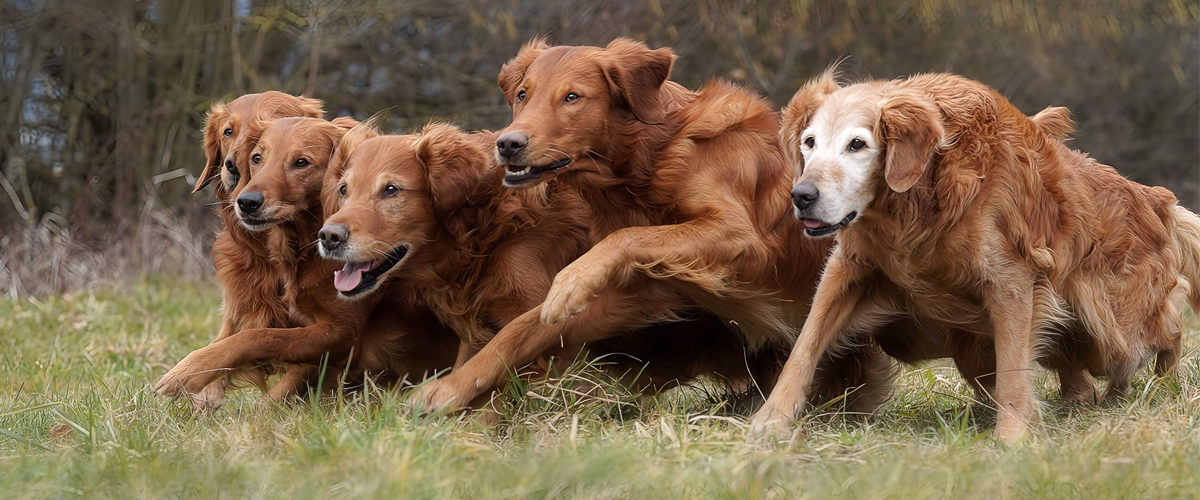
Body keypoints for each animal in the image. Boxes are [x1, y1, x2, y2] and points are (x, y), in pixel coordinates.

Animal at [157, 115, 456, 398]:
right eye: (257, 158)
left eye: (301, 162)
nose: (246, 202)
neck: (306, 249)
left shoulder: (343, 335)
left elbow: (262, 338)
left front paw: (188, 371)